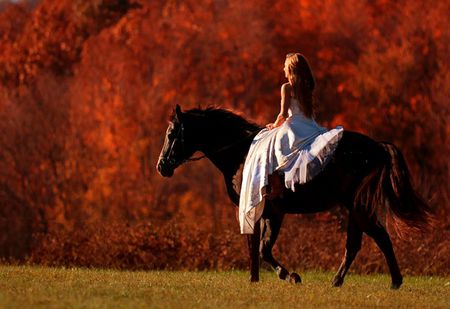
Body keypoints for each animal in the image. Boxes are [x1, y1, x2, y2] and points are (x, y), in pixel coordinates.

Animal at [156, 104, 430, 288]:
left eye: (171, 134)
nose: (162, 166)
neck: (242, 155)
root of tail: (377, 147)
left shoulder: (272, 213)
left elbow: (263, 249)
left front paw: (289, 276)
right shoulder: (261, 213)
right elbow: (256, 247)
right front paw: (257, 280)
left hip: (359, 207)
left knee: (379, 238)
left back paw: (393, 281)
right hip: (355, 208)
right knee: (356, 244)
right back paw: (340, 281)